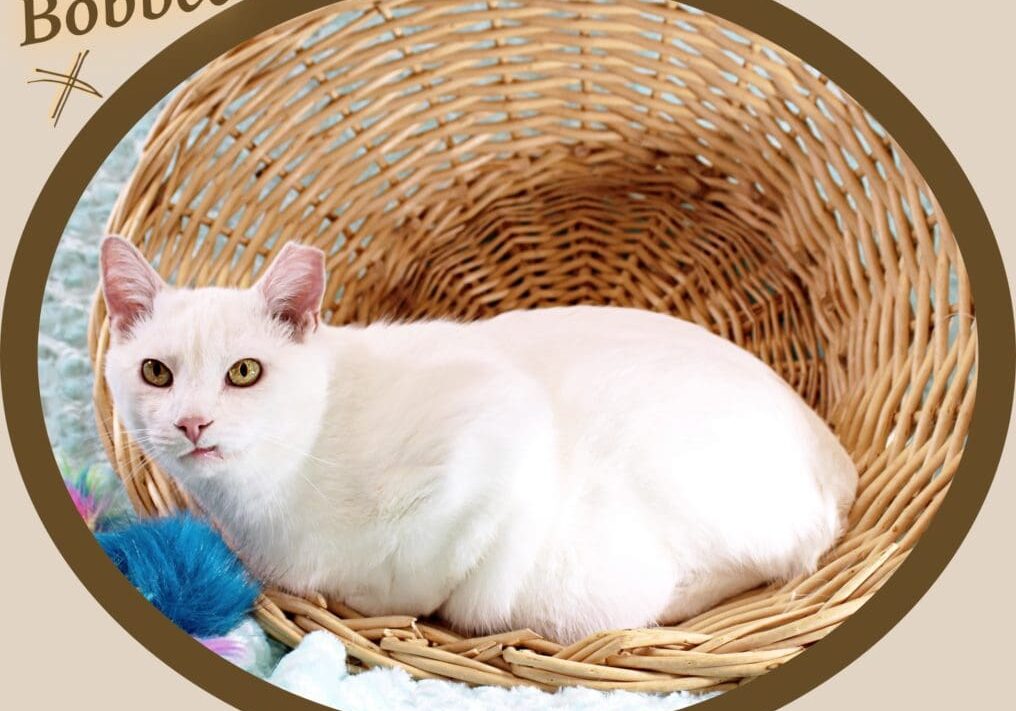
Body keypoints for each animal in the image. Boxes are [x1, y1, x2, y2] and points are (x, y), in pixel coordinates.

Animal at [99, 235, 857, 641]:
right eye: (157, 372)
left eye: (245, 372)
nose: (193, 422)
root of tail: (831, 455)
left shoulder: (498, 423)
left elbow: (426, 576)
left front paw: (387, 598)